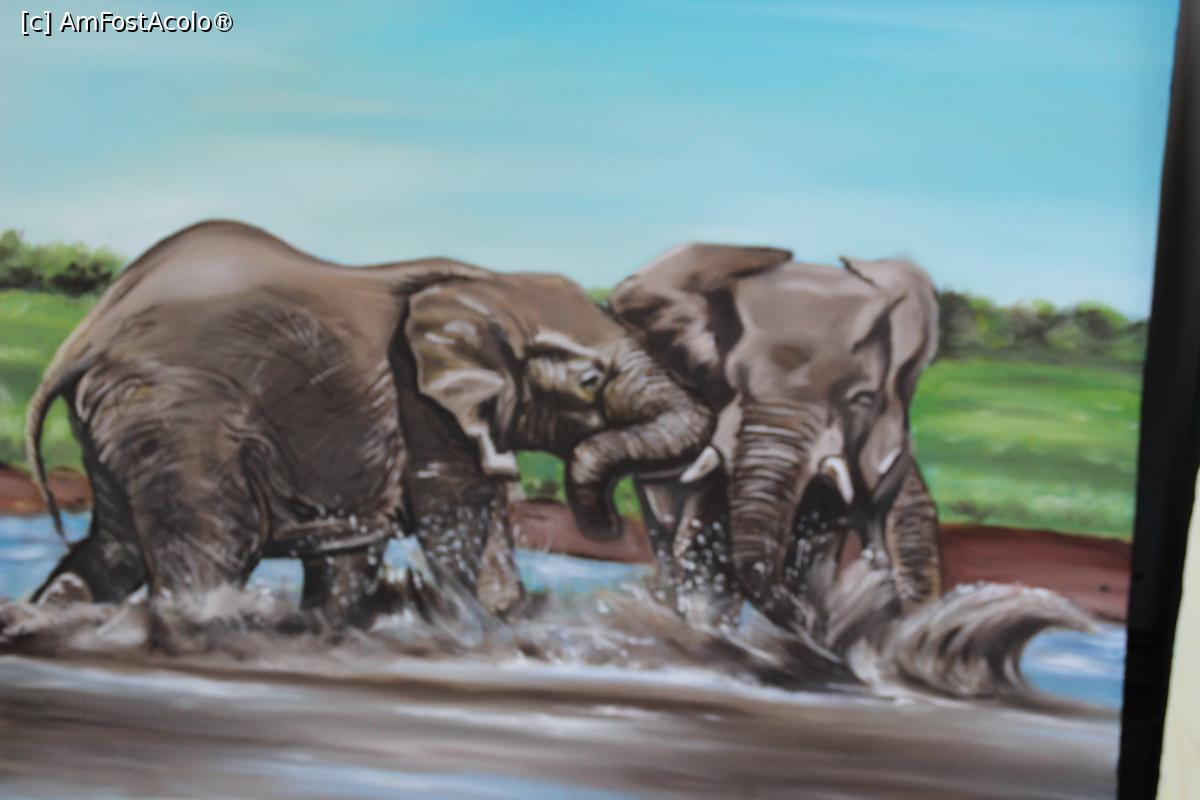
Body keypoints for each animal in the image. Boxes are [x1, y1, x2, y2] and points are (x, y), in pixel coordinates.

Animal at [24, 220, 713, 626]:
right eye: (591, 382)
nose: (608, 525)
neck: (489, 286)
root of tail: (85, 335)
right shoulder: (423, 408)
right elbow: (454, 526)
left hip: (123, 421)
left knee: (113, 549)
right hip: (176, 414)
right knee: (216, 548)